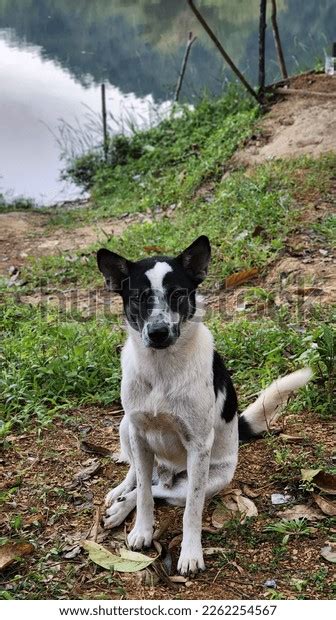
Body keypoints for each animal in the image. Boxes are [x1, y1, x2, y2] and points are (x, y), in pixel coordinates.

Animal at [97, 235, 312, 572]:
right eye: (139, 298)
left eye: (177, 294)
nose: (158, 333)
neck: (162, 368)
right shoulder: (140, 434)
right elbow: (143, 493)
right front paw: (141, 531)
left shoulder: (198, 448)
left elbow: (191, 510)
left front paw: (190, 553)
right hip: (125, 427)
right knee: (141, 478)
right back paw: (120, 496)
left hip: (207, 478)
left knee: (163, 491)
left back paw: (123, 506)